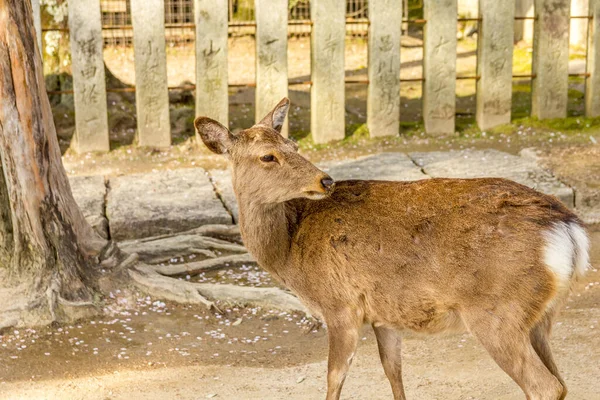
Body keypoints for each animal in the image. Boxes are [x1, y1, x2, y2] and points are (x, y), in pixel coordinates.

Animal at [195, 97, 588, 400]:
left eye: (293, 145)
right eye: (268, 156)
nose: (325, 180)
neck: (290, 253)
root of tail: (568, 228)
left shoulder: (341, 305)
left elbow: (334, 379)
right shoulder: (384, 314)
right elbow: (393, 371)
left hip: (496, 311)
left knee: (545, 386)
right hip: (542, 315)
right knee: (562, 381)